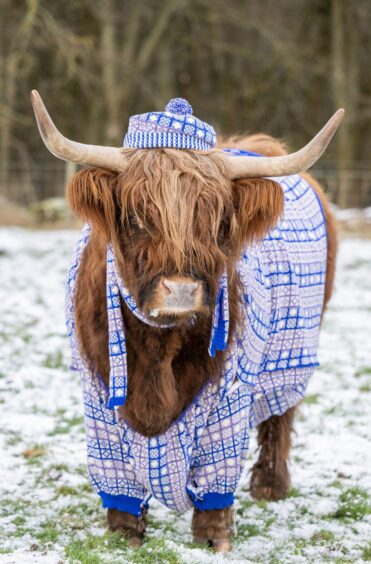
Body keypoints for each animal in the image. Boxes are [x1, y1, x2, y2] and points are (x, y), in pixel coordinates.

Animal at [31, 91, 342, 552]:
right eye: (137, 216)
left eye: (218, 221)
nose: (180, 290)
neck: (157, 346)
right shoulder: (98, 398)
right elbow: (117, 478)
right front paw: (123, 535)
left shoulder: (230, 396)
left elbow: (218, 472)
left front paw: (214, 539)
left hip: (296, 348)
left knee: (281, 413)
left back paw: (270, 484)